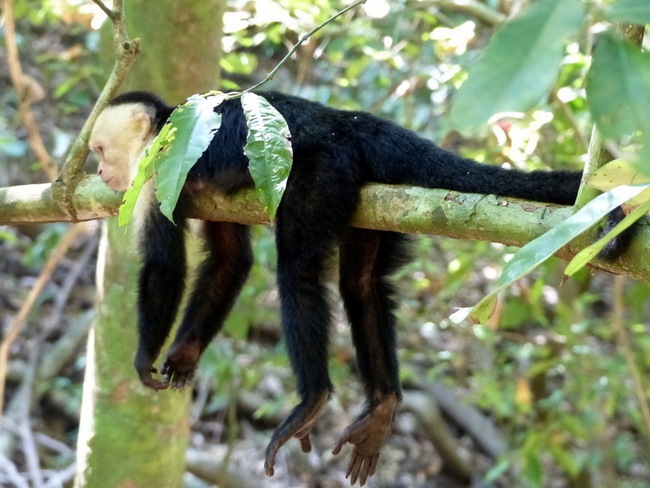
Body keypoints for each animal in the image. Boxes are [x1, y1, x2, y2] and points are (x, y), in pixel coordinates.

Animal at [88, 90, 632, 484]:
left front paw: (144, 357)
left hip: (320, 169)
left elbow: (164, 264)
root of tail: (348, 121)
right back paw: (384, 403)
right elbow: (229, 260)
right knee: (362, 282)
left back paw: (312, 399)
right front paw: (185, 351)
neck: (163, 126)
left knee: (299, 272)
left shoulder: (157, 165)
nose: (98, 170)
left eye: (97, 149)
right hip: (371, 195)